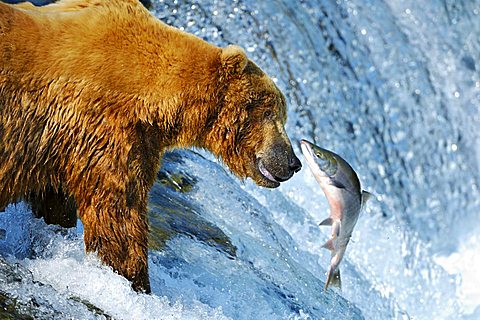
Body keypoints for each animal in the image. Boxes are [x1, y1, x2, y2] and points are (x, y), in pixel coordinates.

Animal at [0, 0, 300, 292]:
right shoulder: (110, 134)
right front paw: (134, 282)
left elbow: (56, 202)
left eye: (282, 115)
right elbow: (119, 217)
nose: (293, 163)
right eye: (270, 113)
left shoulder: (65, 145)